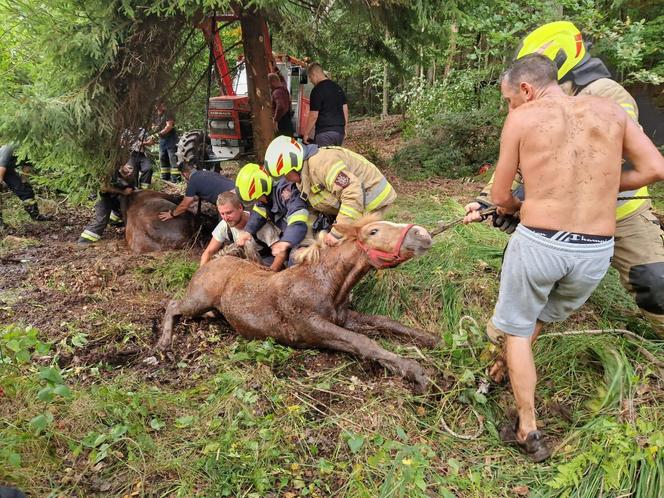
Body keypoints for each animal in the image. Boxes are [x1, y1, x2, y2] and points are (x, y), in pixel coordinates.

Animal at [153, 218, 438, 392]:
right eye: (373, 231)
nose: (422, 234)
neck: (325, 282)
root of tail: (212, 262)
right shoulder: (313, 328)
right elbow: (363, 342)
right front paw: (415, 371)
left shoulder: (343, 317)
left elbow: (384, 322)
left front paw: (431, 339)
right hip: (198, 301)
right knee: (174, 305)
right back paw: (164, 344)